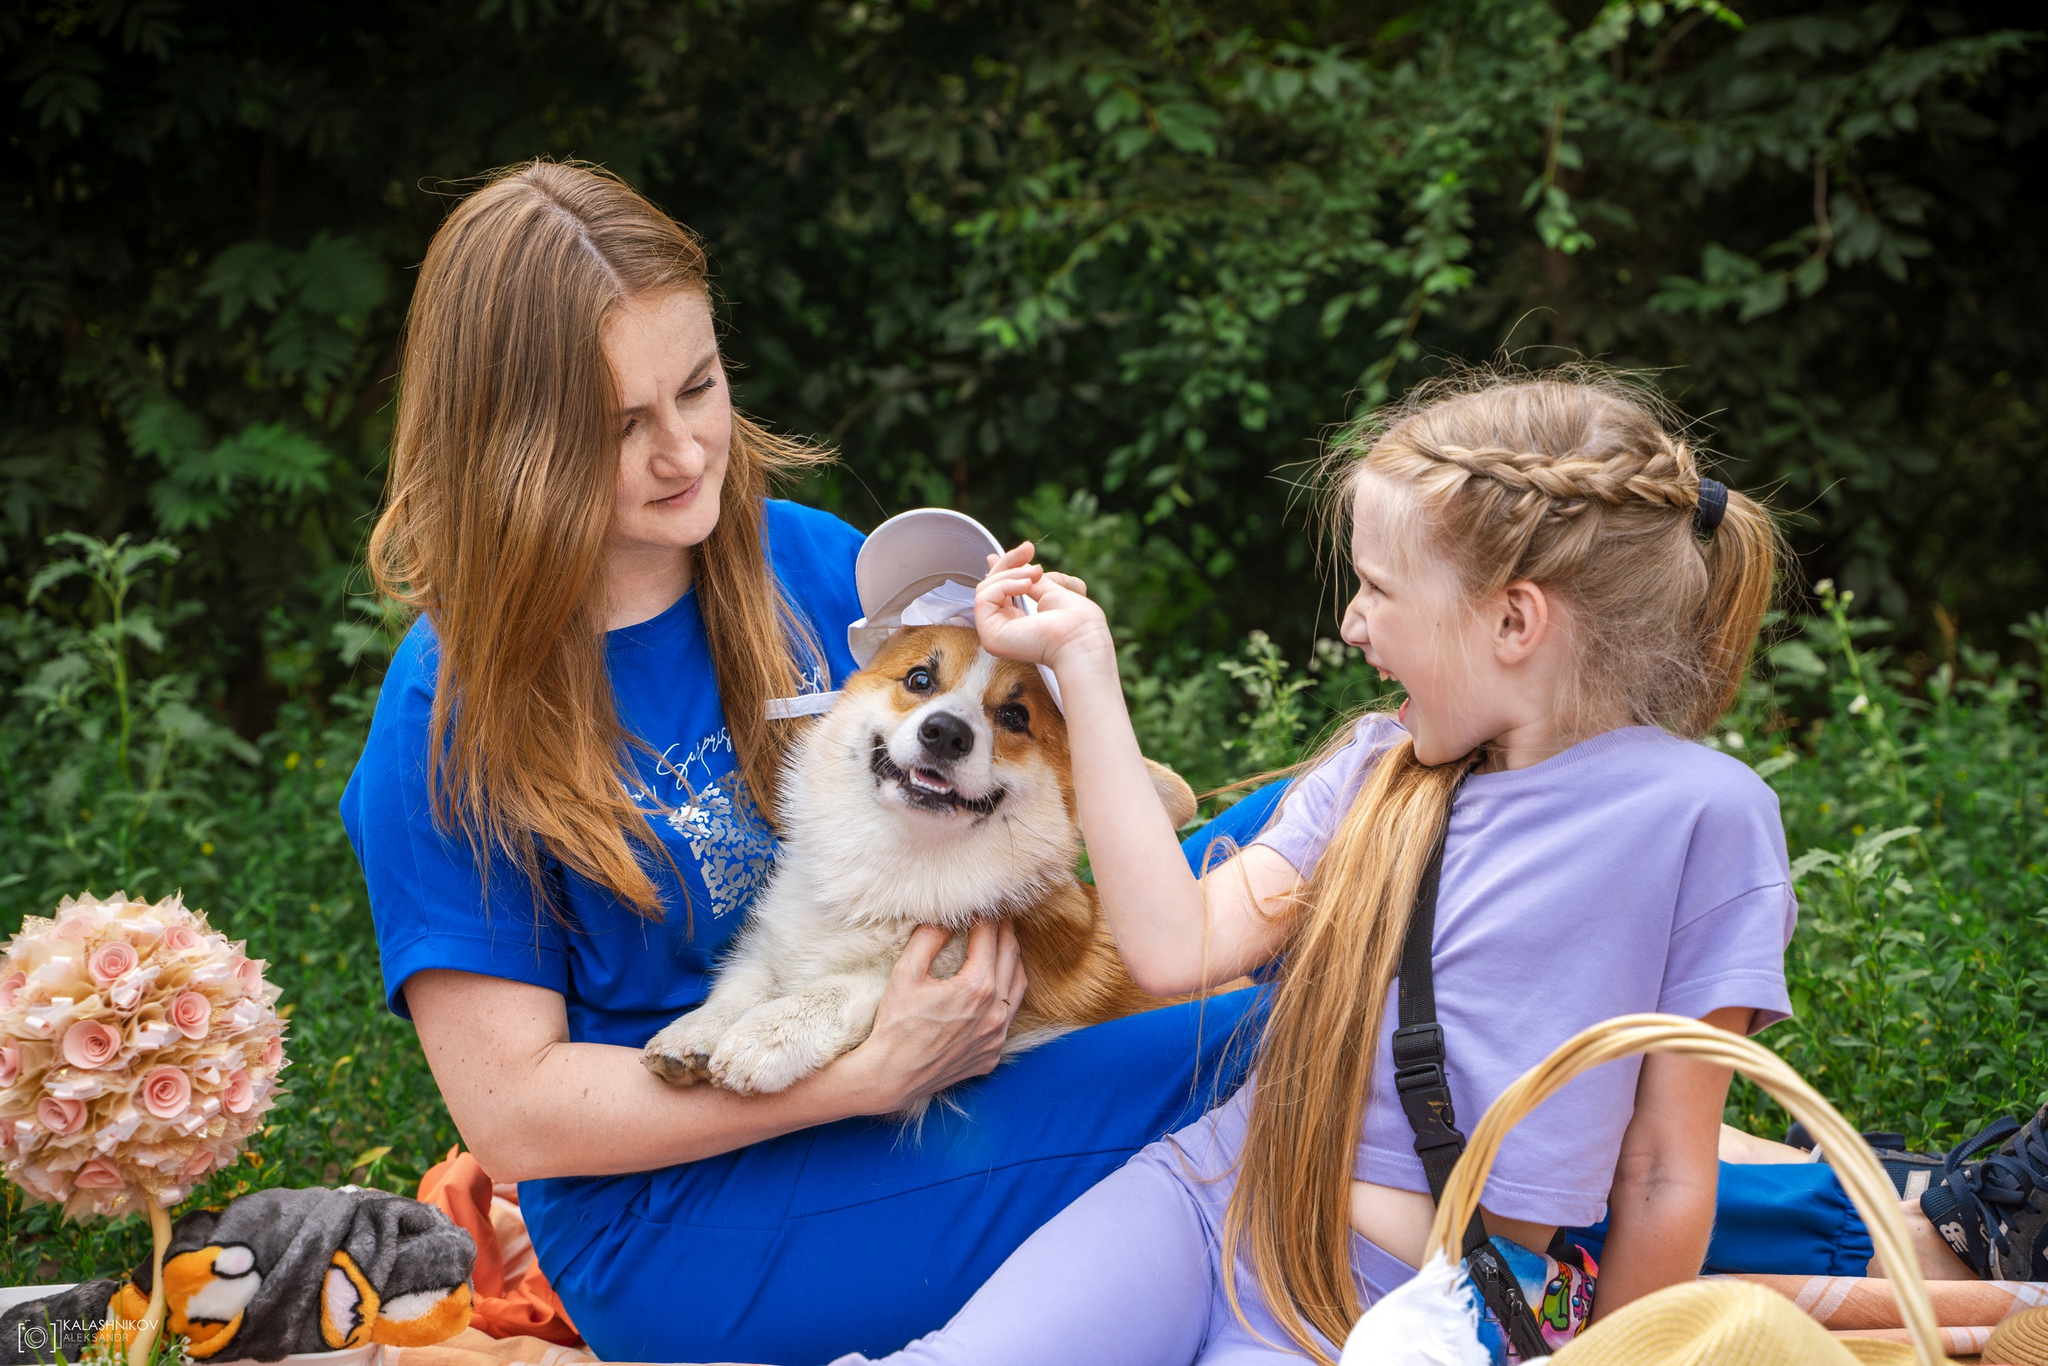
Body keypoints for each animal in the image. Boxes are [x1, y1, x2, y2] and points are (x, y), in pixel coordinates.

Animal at [630, 622, 1196, 1097]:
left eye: (1015, 717)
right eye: (920, 679)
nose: (945, 732)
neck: (891, 868)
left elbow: (854, 985)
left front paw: (768, 1035)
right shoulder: (776, 941)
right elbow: (748, 978)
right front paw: (697, 1029)